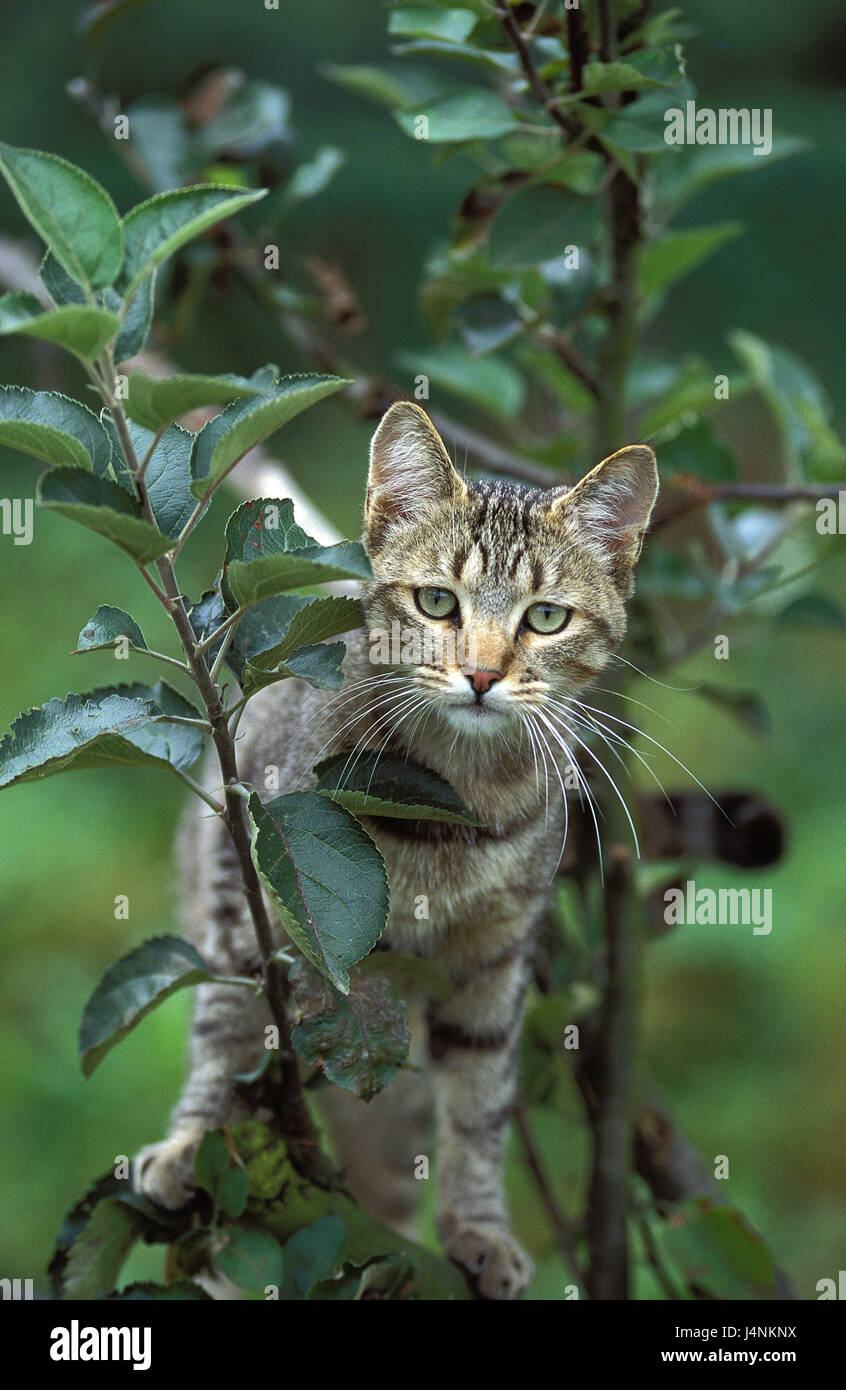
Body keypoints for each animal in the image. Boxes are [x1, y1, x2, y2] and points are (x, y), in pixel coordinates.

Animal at [133, 403, 661, 1301]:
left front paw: (478, 1226)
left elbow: (480, 1104)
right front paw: (194, 1142)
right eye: (437, 602)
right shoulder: (247, 896)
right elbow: (227, 1032)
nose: (482, 675)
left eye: (545, 618)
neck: (454, 807)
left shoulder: (495, 954)